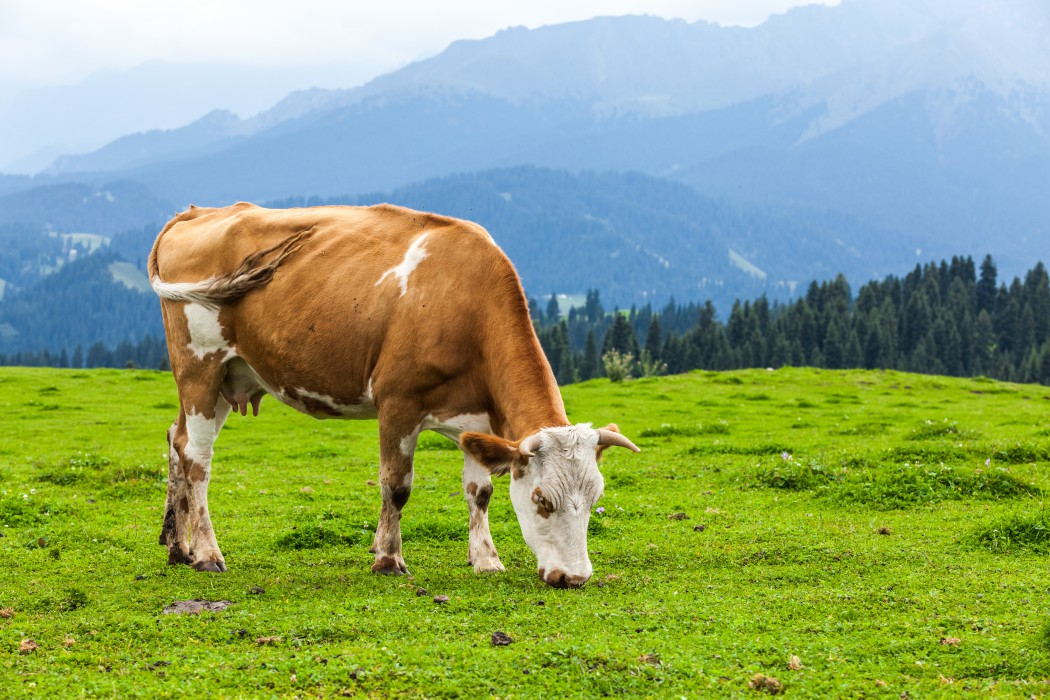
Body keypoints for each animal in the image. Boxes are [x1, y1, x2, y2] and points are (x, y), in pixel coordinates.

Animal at [145, 201, 638, 587]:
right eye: (541, 500)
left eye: (595, 500)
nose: (573, 577)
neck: (465, 304)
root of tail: (195, 212)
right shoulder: (398, 403)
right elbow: (396, 486)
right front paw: (388, 558)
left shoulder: (477, 420)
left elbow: (479, 491)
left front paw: (486, 560)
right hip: (200, 367)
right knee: (198, 459)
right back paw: (208, 554)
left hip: (229, 378)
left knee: (176, 439)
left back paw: (178, 547)